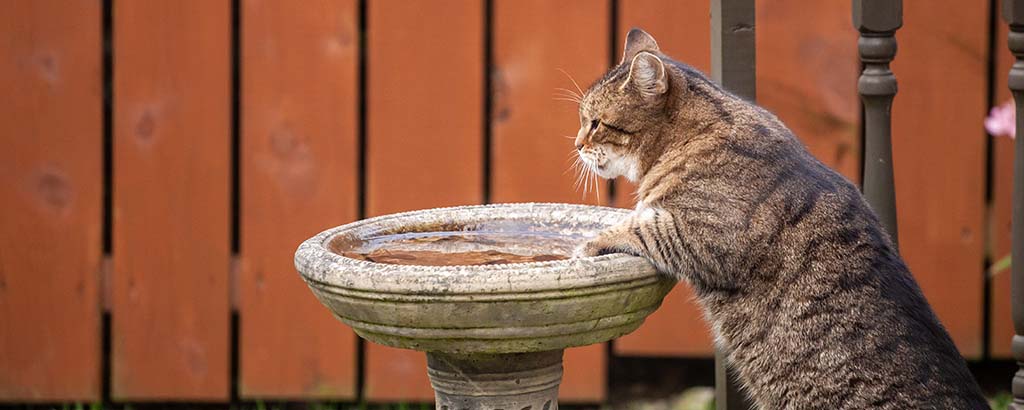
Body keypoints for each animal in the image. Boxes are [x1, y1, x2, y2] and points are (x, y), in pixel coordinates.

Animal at [573, 27, 987, 407]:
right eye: (584, 120)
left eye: (595, 122)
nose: (576, 145)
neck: (692, 136)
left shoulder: (704, 235)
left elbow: (639, 225)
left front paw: (589, 244)